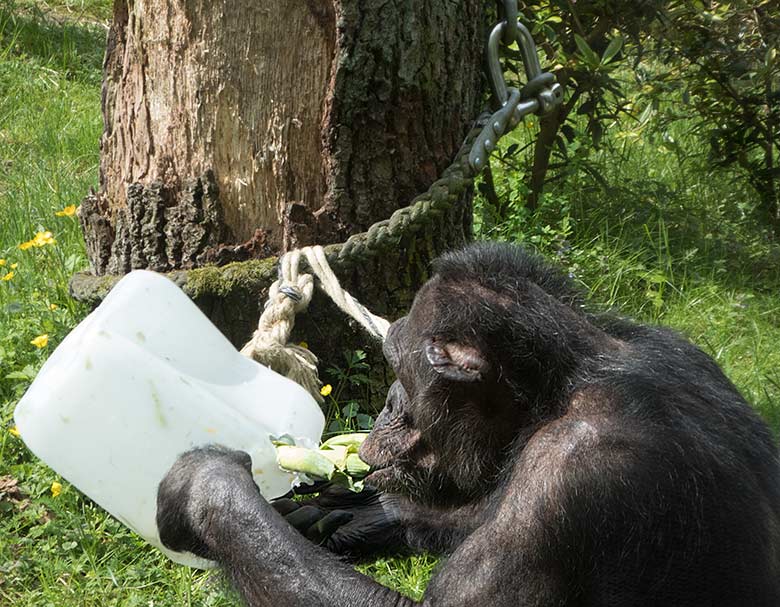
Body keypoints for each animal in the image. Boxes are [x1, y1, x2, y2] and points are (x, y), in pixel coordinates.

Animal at [155, 243, 780, 607]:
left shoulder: (572, 479)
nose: (387, 403)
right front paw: (370, 513)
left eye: (398, 366)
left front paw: (204, 490)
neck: (556, 395)